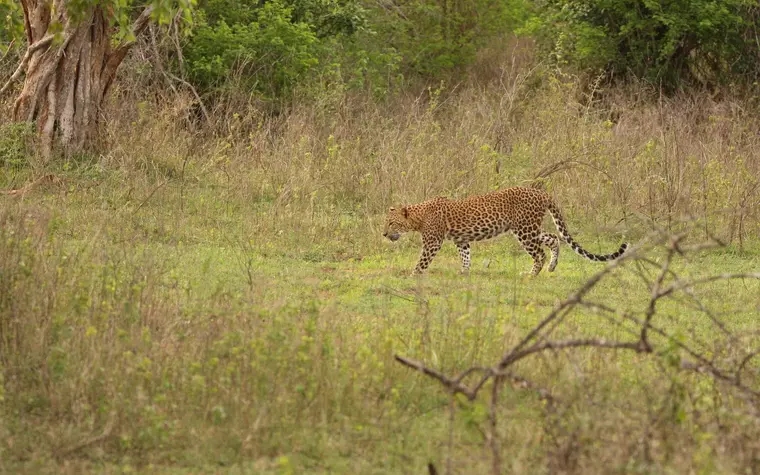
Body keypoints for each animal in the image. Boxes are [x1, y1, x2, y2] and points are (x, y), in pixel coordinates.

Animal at [382, 186, 628, 276]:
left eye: (391, 223)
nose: (384, 234)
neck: (418, 216)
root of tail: (543, 193)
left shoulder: (433, 242)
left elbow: (422, 261)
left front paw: (412, 275)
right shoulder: (461, 240)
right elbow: (466, 256)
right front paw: (464, 272)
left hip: (524, 230)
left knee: (539, 252)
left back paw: (531, 274)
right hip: (528, 228)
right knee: (553, 238)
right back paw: (552, 266)